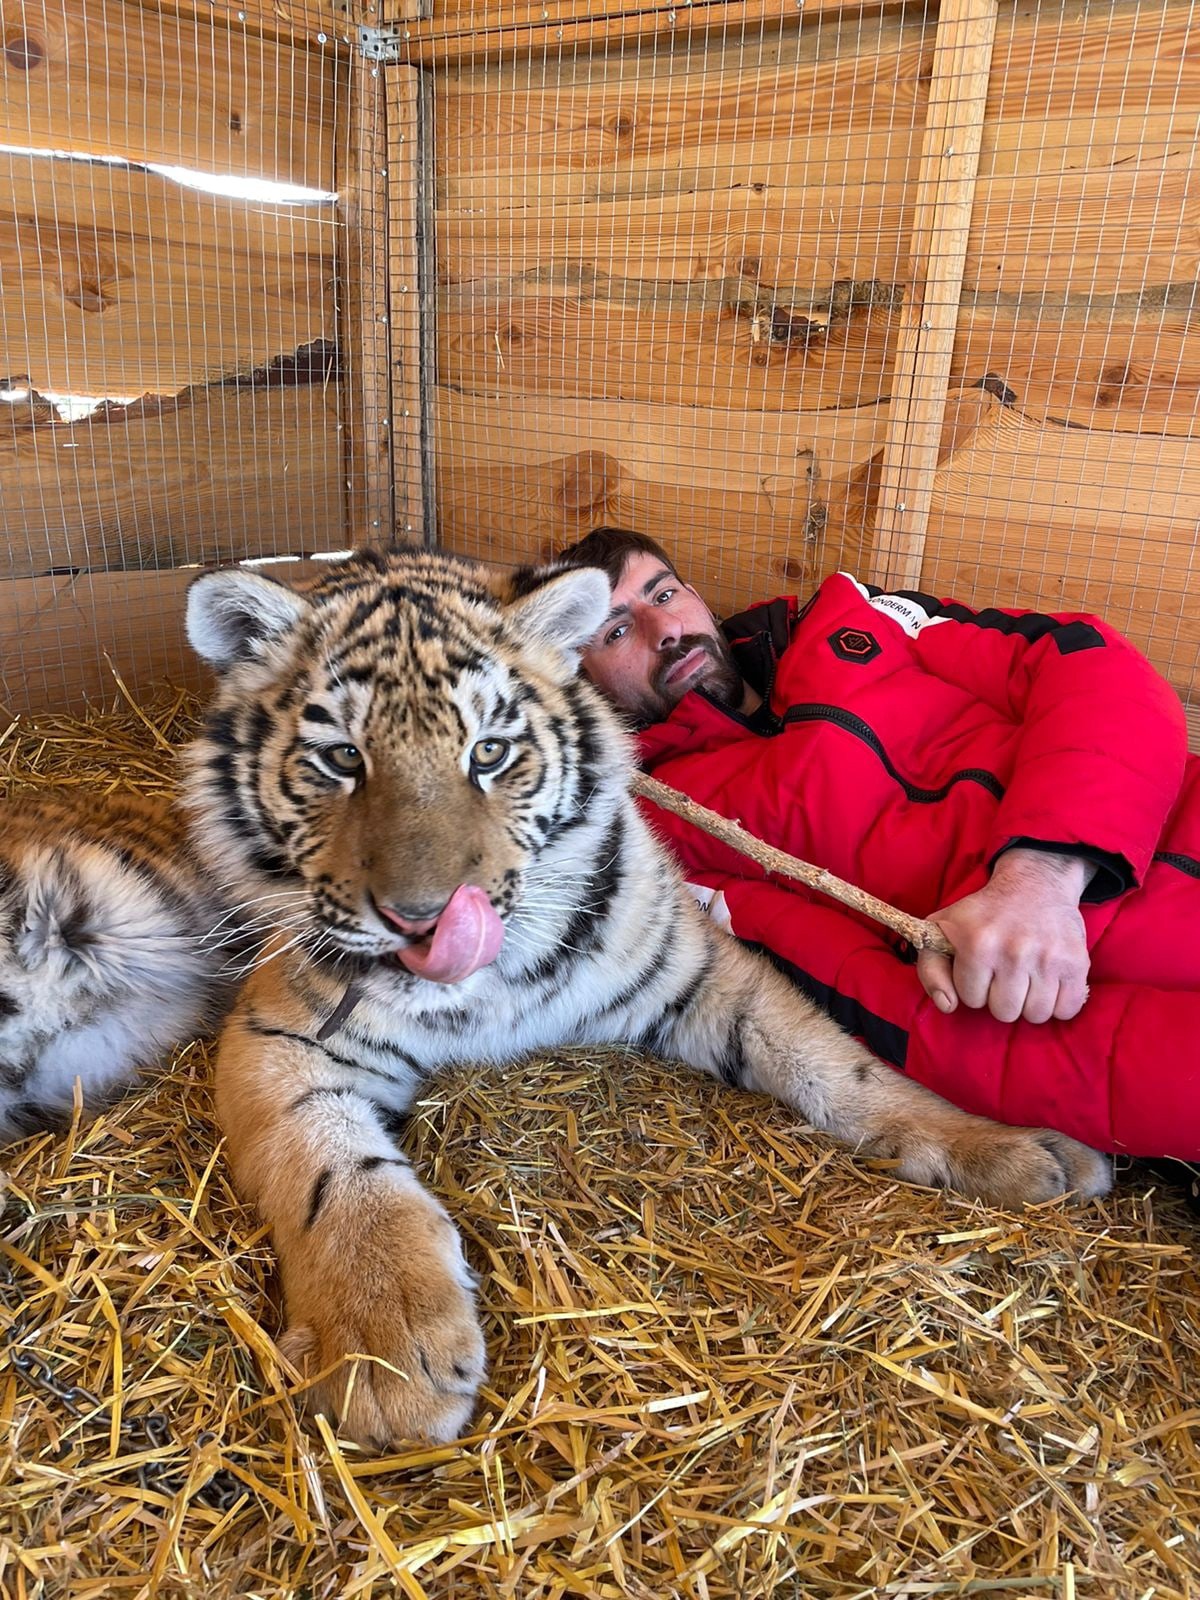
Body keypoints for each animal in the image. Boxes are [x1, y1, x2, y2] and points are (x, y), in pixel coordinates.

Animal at [183, 553, 1113, 1465]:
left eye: (490, 752)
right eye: (343, 758)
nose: (423, 917)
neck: (488, 988)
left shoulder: (701, 972)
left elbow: (842, 1068)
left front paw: (1018, 1150)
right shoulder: (283, 1035)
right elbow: (338, 1175)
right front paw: (387, 1357)